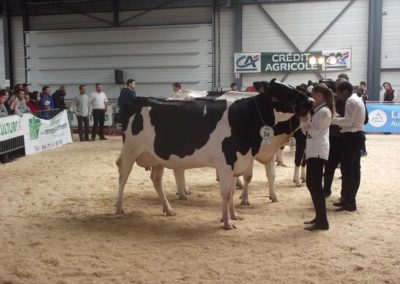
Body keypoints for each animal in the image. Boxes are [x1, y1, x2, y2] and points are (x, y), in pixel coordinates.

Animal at [115, 79, 312, 230]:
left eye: (292, 87)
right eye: (282, 92)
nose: (309, 100)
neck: (244, 118)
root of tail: (137, 100)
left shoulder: (237, 161)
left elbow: (232, 191)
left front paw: (234, 215)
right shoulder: (225, 162)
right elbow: (226, 192)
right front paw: (226, 223)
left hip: (156, 157)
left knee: (156, 180)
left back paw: (168, 209)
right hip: (130, 150)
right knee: (123, 177)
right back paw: (118, 209)